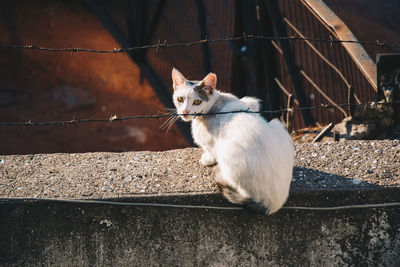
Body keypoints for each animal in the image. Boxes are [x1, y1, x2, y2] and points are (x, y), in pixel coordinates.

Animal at [171, 68, 294, 215]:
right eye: (180, 99)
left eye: (197, 102)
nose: (185, 111)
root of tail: (274, 202)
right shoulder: (251, 103)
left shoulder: (211, 141)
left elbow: (210, 151)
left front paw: (206, 159)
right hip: (277, 125)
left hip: (228, 152)